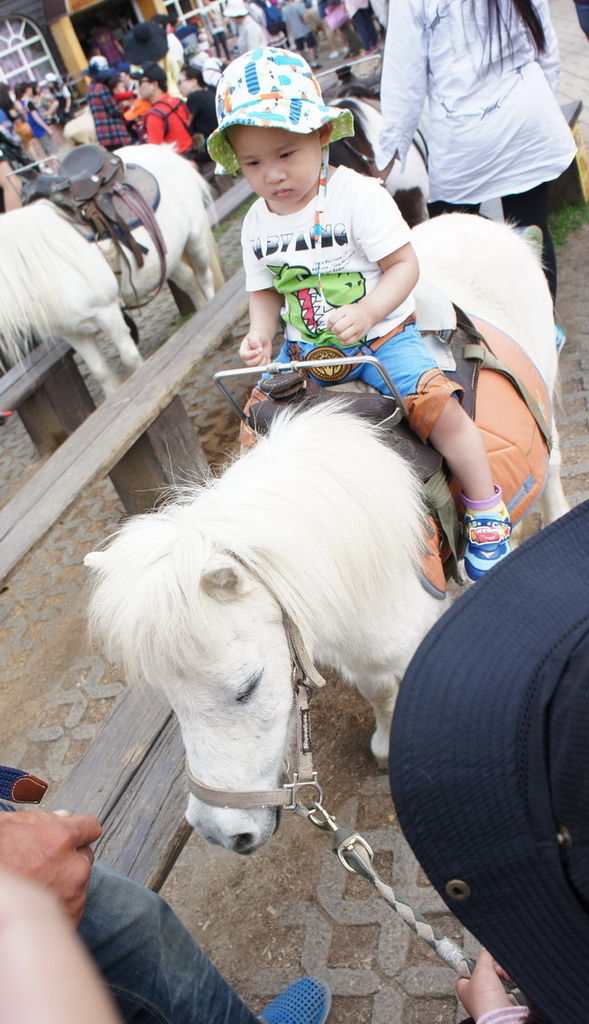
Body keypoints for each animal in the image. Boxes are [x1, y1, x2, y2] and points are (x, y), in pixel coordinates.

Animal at [0, 144, 223, 395]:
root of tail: (164, 149)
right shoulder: (74, 334)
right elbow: (101, 372)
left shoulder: (107, 313)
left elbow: (130, 358)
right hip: (167, 258)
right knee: (188, 280)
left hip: (195, 240)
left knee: (205, 278)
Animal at [85, 216, 569, 856]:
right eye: (167, 695)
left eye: (248, 687)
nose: (220, 833)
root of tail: (480, 223)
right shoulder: (356, 648)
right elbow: (378, 689)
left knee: (553, 466)